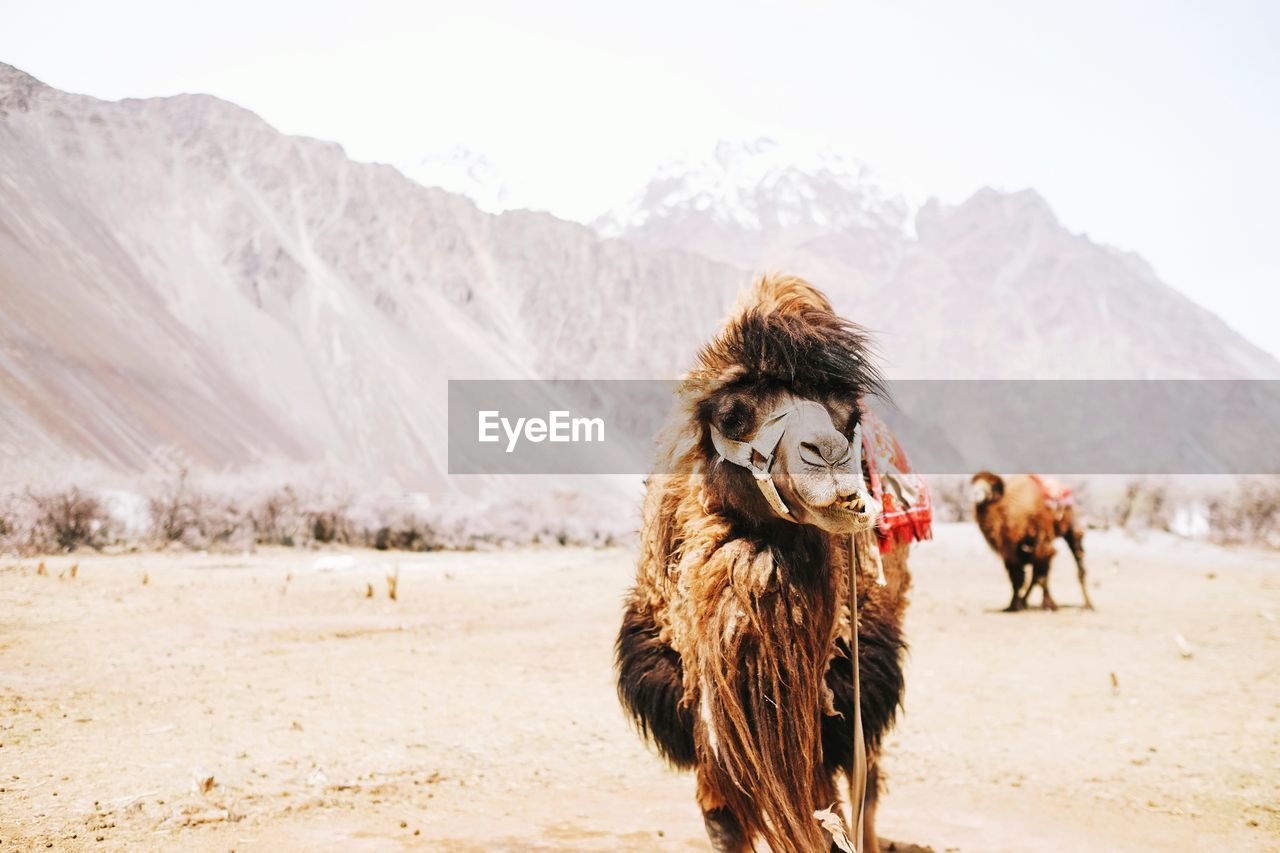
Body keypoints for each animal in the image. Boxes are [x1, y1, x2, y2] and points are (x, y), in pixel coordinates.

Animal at [619, 274, 921, 850]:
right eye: (733, 414)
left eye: (848, 415)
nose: (828, 455)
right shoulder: (696, 712)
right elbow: (723, 821)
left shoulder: (844, 697)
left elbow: (834, 813)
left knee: (869, 785)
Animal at [967, 471, 1090, 612]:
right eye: (974, 484)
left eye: (991, 486)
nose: (976, 494)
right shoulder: (1010, 551)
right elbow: (1017, 578)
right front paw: (1013, 606)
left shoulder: (1041, 541)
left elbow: (1040, 576)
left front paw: (1049, 605)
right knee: (1034, 575)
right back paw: (1024, 601)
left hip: (1070, 528)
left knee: (1077, 559)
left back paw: (1089, 605)